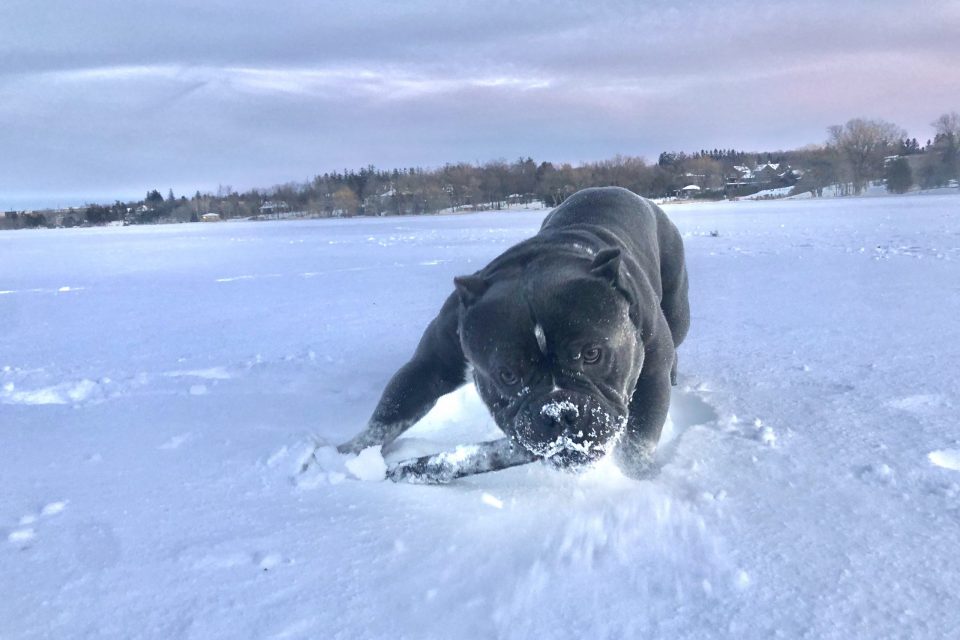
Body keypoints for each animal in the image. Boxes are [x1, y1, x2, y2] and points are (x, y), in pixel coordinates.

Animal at [338, 187, 689, 483]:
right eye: (506, 374)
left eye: (592, 354)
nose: (558, 411)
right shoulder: (431, 365)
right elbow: (390, 414)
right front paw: (346, 456)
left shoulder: (651, 375)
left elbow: (637, 443)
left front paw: (635, 481)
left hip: (677, 311)